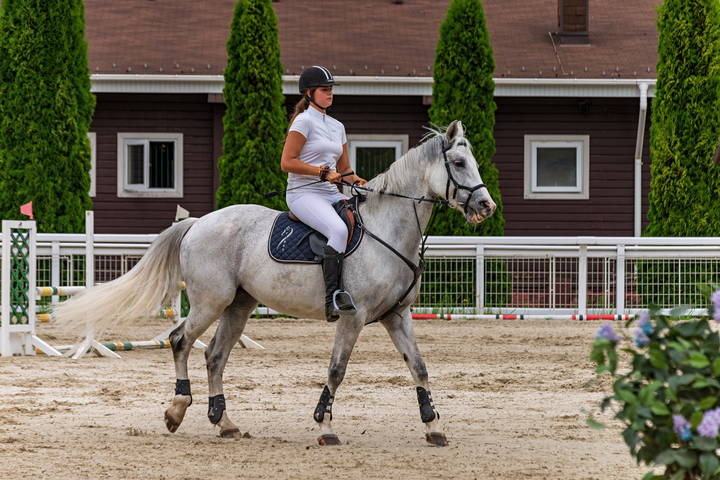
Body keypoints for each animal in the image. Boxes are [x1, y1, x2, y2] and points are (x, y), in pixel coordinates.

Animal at [53, 120, 496, 446]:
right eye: (459, 163)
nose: (486, 206)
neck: (386, 230)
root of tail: (198, 222)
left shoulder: (397, 316)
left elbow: (419, 368)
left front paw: (434, 427)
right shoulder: (352, 317)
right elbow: (337, 370)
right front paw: (325, 427)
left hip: (239, 304)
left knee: (214, 355)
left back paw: (224, 421)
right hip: (211, 301)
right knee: (180, 340)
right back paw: (177, 410)